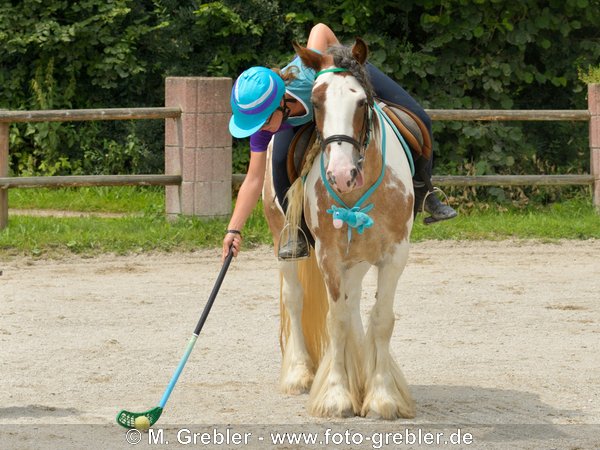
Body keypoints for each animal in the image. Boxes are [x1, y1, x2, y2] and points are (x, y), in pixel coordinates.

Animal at [262, 37, 418, 420]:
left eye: (361, 102)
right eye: (317, 102)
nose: (341, 174)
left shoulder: (395, 256)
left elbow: (381, 319)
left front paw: (381, 396)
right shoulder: (329, 257)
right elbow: (336, 321)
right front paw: (336, 395)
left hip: (359, 259)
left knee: (354, 303)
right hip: (282, 238)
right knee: (296, 298)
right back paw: (299, 373)